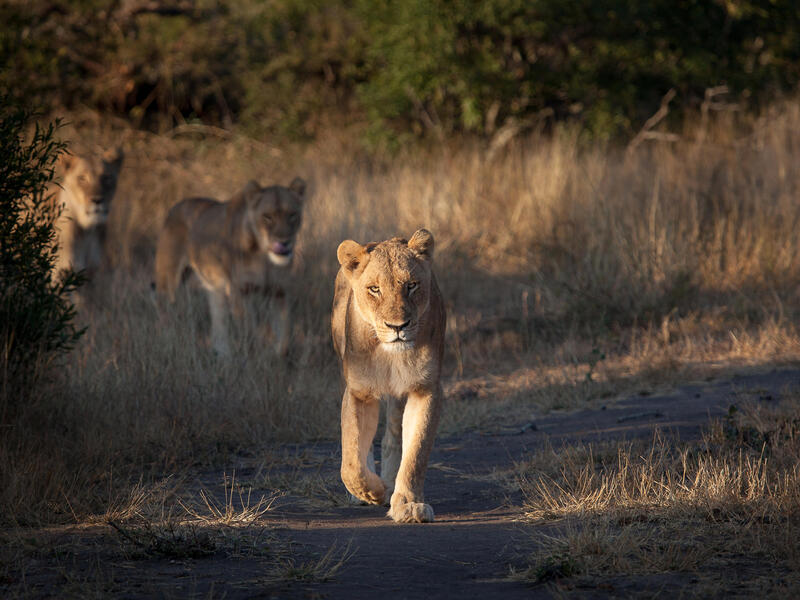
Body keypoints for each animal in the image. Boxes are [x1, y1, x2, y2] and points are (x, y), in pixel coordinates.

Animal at [153, 178, 306, 356]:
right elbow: (248, 331)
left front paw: (278, 357)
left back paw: (223, 354)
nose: (284, 242)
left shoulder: (280, 292)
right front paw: (250, 356)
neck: (264, 259)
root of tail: (175, 207)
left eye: (292, 215)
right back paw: (166, 343)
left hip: (214, 287)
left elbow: (284, 334)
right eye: (267, 217)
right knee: (164, 312)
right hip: (168, 283)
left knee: (218, 319)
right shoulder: (239, 291)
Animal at [330, 227, 444, 524]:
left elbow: (415, 452)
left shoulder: (425, 388)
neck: (390, 355)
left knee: (394, 434)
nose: (398, 326)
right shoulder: (358, 391)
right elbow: (351, 460)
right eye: (375, 289)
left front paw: (408, 504)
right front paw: (371, 492)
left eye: (411, 285)